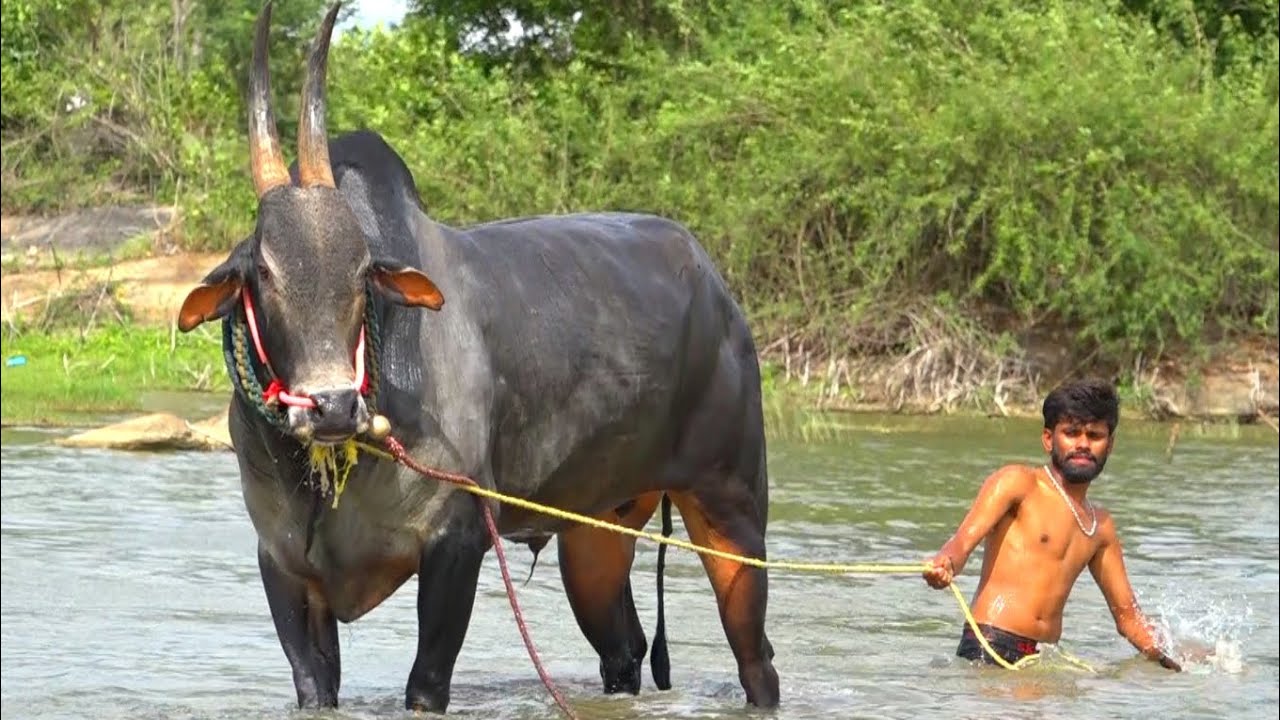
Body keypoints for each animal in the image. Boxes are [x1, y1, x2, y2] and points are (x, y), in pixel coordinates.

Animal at [177, 1, 778, 713]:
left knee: (757, 662)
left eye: (361, 271)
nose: (333, 406)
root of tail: (719, 288)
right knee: (623, 652)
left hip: (733, 508)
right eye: (262, 272)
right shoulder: (283, 567)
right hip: (595, 533)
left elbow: (425, 685)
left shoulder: (457, 540)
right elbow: (313, 684)